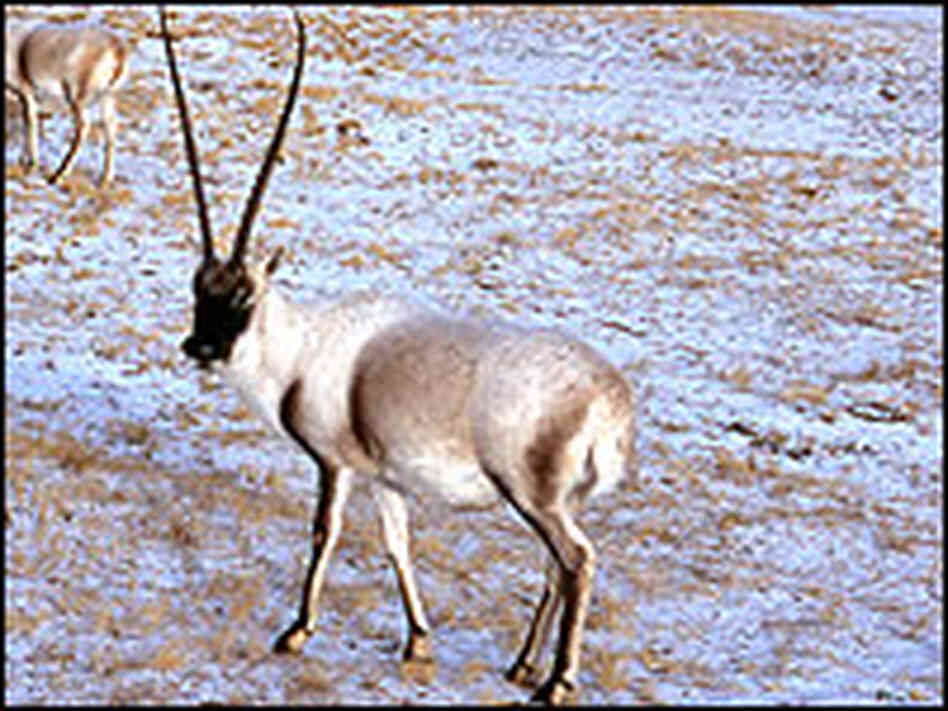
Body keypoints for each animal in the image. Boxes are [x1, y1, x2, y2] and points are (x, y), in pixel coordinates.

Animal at [4, 19, 129, 187]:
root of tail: (116, 48)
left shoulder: (26, 94)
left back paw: (58, 176)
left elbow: (30, 122)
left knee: (83, 127)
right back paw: (104, 181)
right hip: (107, 98)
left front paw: (31, 164)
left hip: (77, 98)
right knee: (110, 129)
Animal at [161, 6, 636, 705]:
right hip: (558, 501)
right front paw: (417, 641)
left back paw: (555, 682)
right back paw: (522, 665)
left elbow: (325, 531)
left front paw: (296, 632)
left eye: (244, 293)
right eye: (199, 289)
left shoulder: (334, 462)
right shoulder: (386, 477)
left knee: (577, 561)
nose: (201, 346)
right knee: (558, 564)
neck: (303, 344)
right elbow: (396, 544)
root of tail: (609, 397)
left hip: (532, 495)